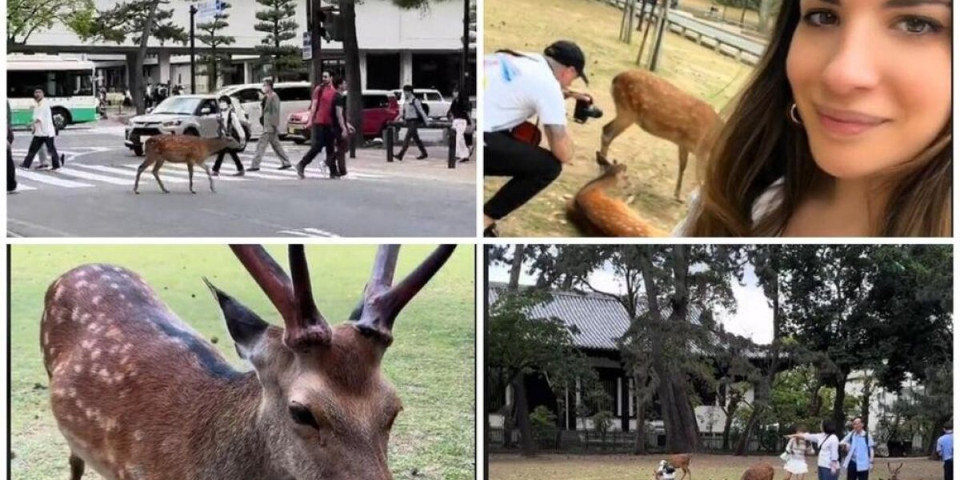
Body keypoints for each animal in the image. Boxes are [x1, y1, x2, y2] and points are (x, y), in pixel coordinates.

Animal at [600, 69, 720, 201]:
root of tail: (616, 78)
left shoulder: (683, 144)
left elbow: (683, 166)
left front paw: (677, 195)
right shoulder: (701, 151)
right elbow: (700, 178)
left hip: (625, 112)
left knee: (605, 128)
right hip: (627, 111)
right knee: (607, 133)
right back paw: (602, 168)